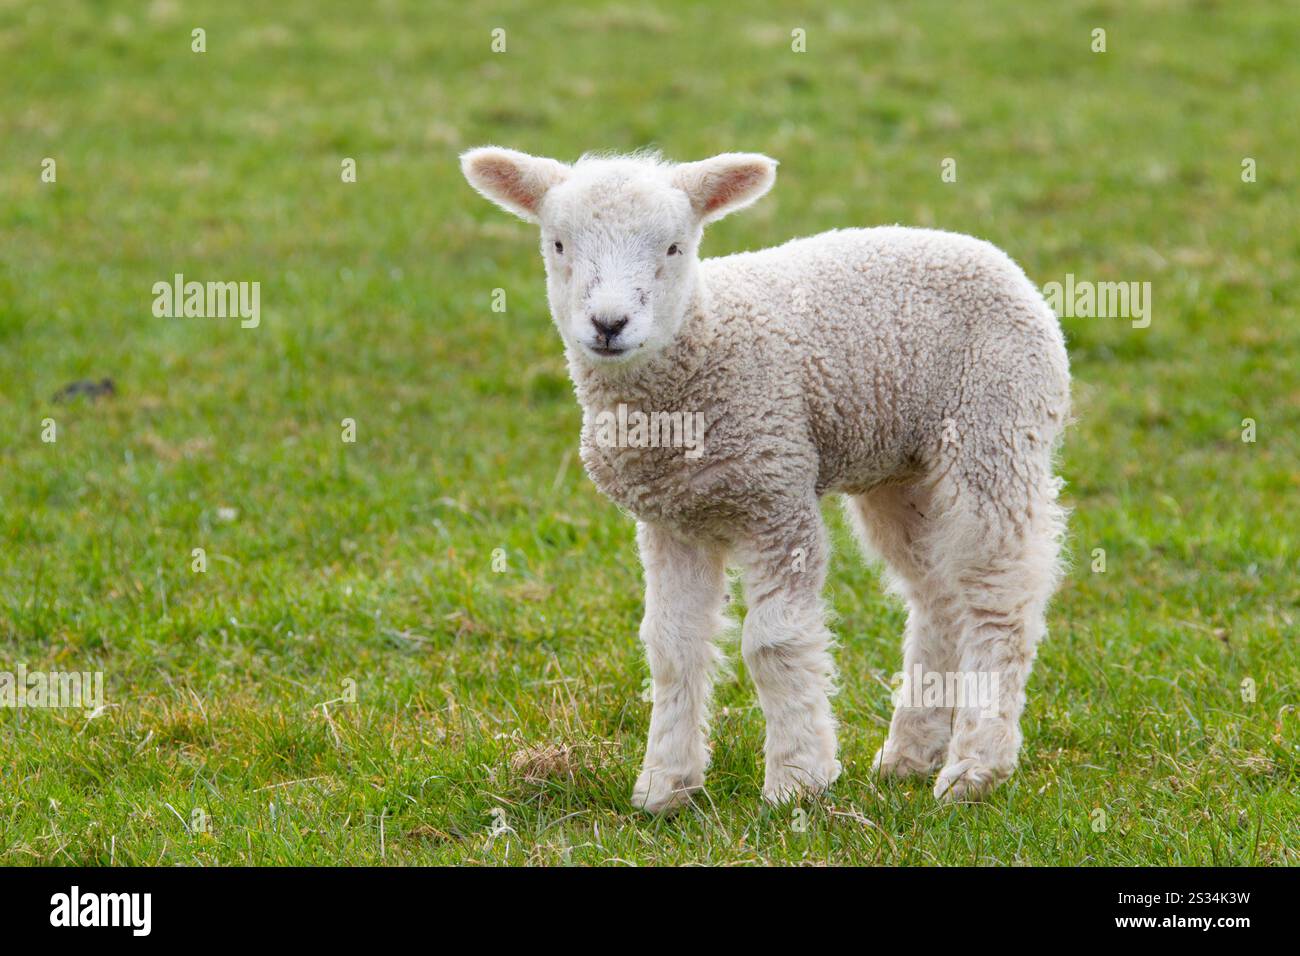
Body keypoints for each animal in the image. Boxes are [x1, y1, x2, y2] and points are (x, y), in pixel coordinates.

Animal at [461, 147, 1071, 811]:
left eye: (674, 247)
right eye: (558, 244)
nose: (608, 324)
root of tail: (998, 260)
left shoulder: (776, 499)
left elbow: (773, 644)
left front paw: (798, 781)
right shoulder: (672, 521)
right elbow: (672, 648)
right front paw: (666, 785)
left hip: (996, 429)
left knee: (997, 597)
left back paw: (973, 768)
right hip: (901, 472)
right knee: (938, 595)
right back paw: (909, 753)